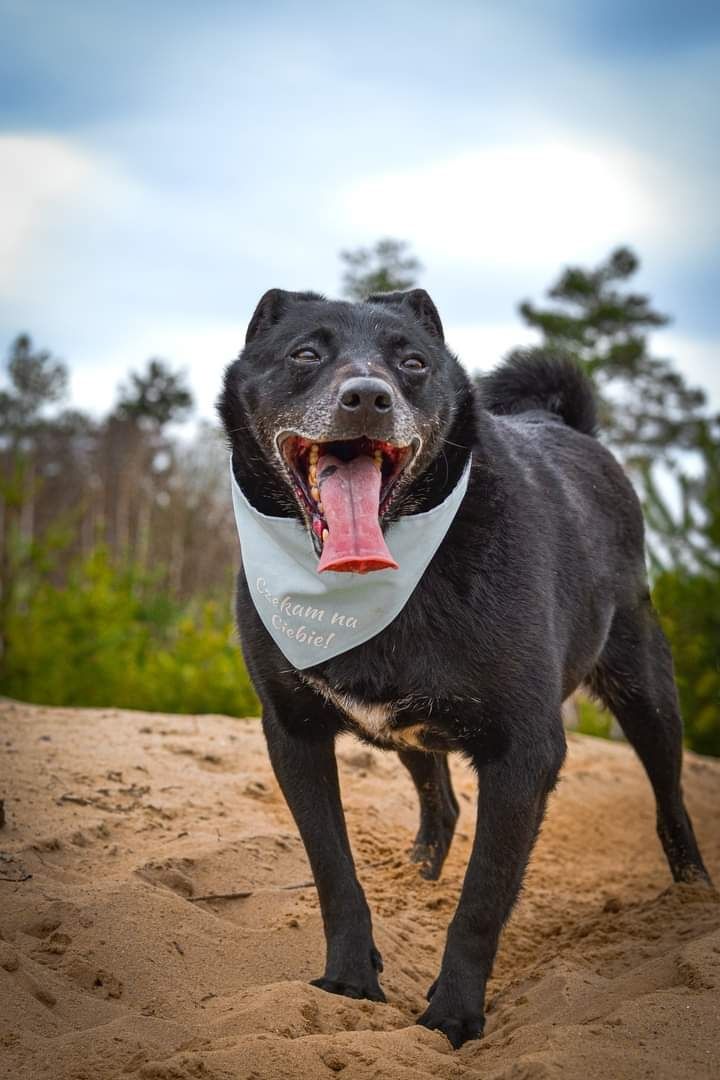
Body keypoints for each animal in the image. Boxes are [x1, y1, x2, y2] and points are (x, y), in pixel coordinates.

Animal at [218, 287, 708, 1045]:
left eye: (414, 363)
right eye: (305, 353)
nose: (367, 398)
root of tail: (562, 424)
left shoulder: (526, 753)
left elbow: (481, 902)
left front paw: (452, 1016)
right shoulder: (294, 733)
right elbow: (334, 873)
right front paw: (349, 982)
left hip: (644, 689)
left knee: (671, 801)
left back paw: (691, 902)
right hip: (410, 728)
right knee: (441, 801)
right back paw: (418, 875)